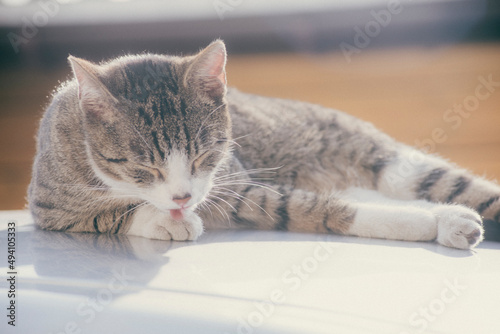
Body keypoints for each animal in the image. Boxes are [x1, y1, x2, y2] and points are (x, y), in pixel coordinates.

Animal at [27, 39, 500, 249]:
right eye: (144, 169)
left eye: (203, 155)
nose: (182, 198)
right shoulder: (49, 206)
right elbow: (104, 217)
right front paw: (163, 220)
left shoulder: (234, 182)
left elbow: (315, 208)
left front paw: (434, 219)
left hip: (389, 160)